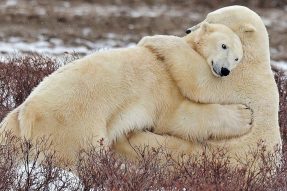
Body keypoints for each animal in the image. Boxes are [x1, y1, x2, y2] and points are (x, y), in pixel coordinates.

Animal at [0, 22, 250, 166]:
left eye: (237, 58)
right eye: (224, 46)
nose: (225, 70)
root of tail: (26, 113)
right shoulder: (164, 84)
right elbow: (178, 117)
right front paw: (245, 115)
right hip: (72, 124)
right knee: (79, 154)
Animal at [114, 5, 282, 167]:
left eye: (211, 18)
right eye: (207, 15)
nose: (188, 30)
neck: (254, 57)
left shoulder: (236, 78)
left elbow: (199, 80)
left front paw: (153, 39)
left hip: (219, 153)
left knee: (172, 148)